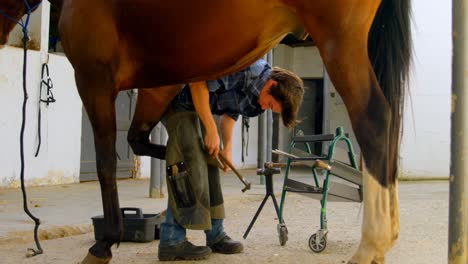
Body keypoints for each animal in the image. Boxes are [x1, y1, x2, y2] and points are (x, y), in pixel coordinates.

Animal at [0, 1, 410, 262]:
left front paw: (104, 245)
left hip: (339, 38)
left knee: (376, 118)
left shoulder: (93, 77)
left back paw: (371, 246)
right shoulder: (163, 82)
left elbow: (105, 163)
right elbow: (140, 140)